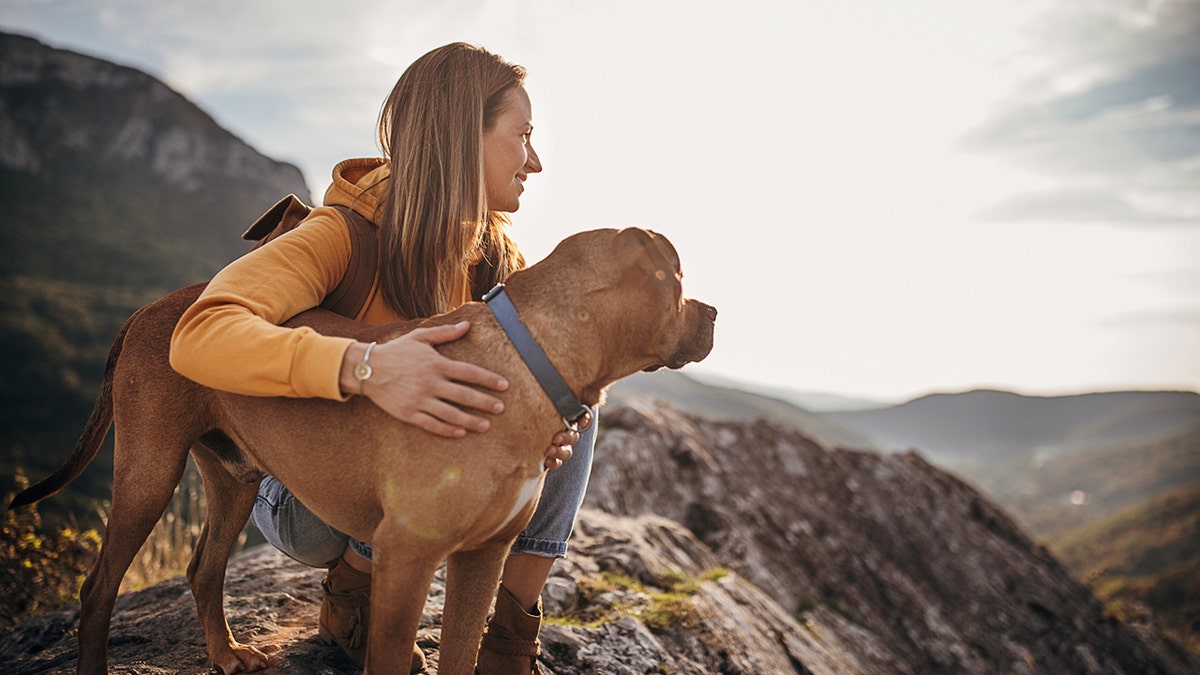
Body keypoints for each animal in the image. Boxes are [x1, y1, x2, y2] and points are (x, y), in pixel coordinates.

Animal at [9, 227, 710, 672]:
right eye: (677, 279)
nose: (715, 314)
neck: (530, 356)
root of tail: (153, 309)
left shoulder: (483, 557)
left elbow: (461, 652)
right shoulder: (407, 557)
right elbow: (391, 655)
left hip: (233, 477)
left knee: (202, 570)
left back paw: (227, 655)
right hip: (150, 472)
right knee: (98, 588)